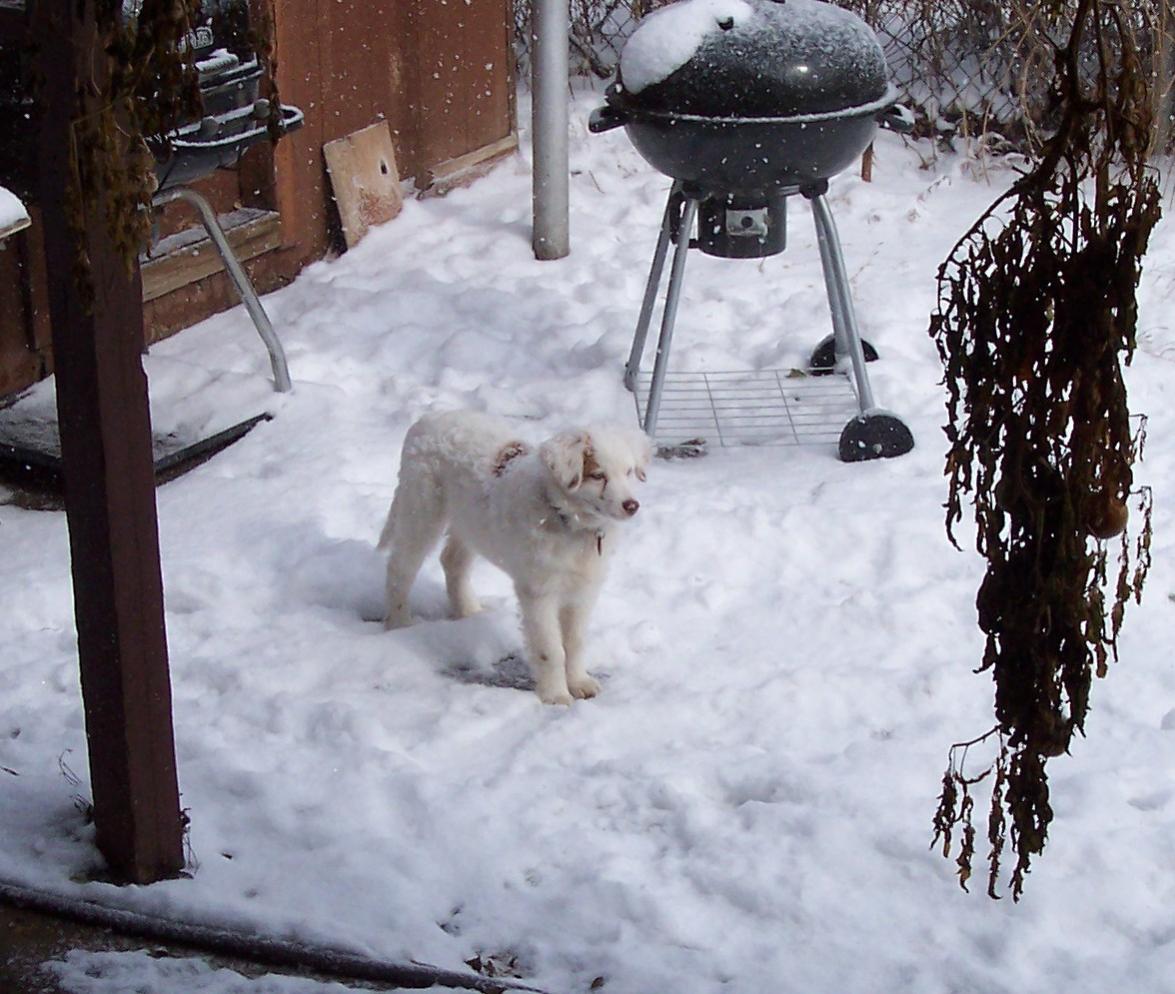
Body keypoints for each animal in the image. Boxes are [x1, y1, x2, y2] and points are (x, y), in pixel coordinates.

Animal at [379, 411, 651, 705]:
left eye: (628, 472)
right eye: (598, 475)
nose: (632, 506)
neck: (570, 523)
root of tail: (431, 416)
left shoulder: (584, 590)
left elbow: (576, 641)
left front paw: (580, 682)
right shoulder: (538, 591)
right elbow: (550, 648)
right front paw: (556, 696)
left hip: (471, 522)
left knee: (452, 560)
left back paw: (468, 611)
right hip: (421, 510)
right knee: (400, 567)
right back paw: (399, 623)